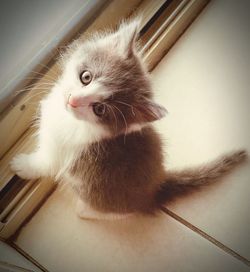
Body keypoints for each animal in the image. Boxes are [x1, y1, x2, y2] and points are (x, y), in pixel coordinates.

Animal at [10, 18, 246, 219]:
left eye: (99, 109)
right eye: (86, 77)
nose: (73, 100)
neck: (71, 120)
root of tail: (156, 187)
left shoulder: (60, 151)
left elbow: (42, 163)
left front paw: (21, 165)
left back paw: (85, 211)